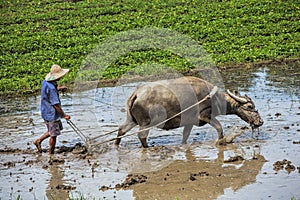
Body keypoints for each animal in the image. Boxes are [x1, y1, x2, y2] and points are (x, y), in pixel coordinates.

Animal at [115, 76, 262, 147]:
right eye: (250, 106)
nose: (260, 122)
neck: (213, 97)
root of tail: (136, 94)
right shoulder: (205, 115)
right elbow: (219, 127)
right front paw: (221, 142)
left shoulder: (189, 123)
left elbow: (185, 135)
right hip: (146, 123)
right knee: (141, 136)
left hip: (132, 120)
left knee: (122, 129)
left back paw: (116, 144)